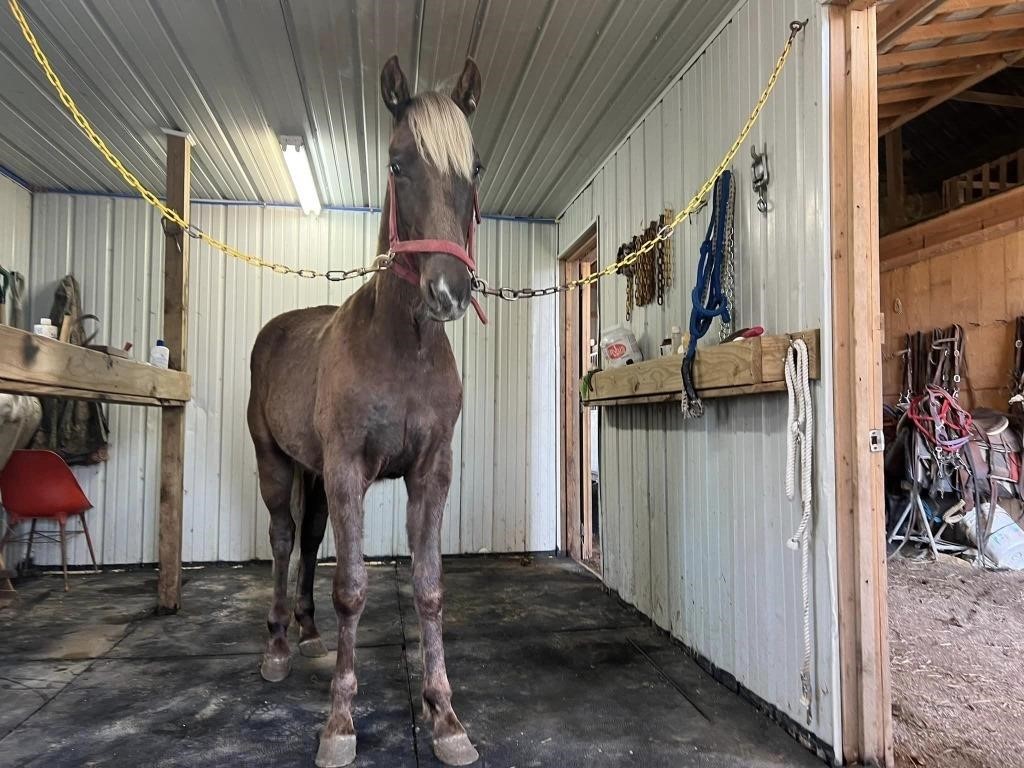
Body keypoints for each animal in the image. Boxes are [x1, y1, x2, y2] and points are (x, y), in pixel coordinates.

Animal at [248, 55, 487, 768]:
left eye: (475, 167)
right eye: (398, 163)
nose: (448, 291)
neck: (402, 346)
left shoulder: (430, 473)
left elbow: (429, 590)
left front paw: (445, 718)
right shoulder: (349, 469)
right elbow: (351, 589)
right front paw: (339, 723)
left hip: (315, 475)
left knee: (307, 540)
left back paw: (308, 634)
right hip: (275, 463)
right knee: (281, 539)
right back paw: (278, 646)